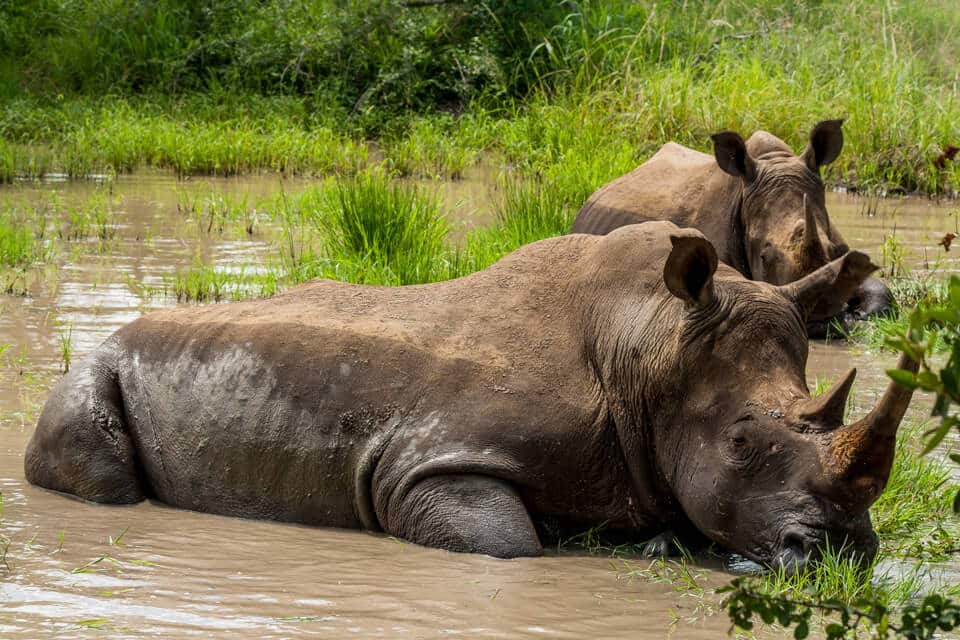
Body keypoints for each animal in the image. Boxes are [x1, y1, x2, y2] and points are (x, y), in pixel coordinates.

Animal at [25, 222, 916, 570]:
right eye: (740, 442)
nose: (843, 551)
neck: (650, 342)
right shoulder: (430, 461)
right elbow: (507, 544)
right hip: (91, 371)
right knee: (102, 472)